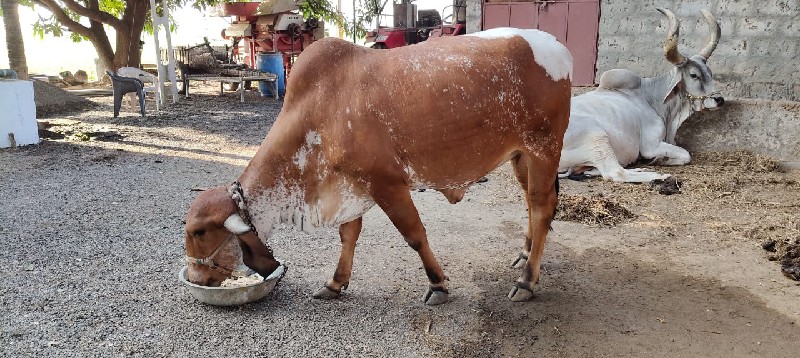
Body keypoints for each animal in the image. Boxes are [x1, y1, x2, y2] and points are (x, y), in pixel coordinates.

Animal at [184, 28, 572, 304]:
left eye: (200, 232)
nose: (196, 278)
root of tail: (557, 46)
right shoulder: (349, 186)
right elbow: (348, 236)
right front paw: (335, 282)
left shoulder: (386, 183)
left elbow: (414, 235)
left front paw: (437, 284)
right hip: (519, 156)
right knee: (531, 205)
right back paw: (525, 254)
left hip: (544, 148)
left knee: (542, 208)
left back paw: (527, 281)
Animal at [560, 8, 720, 182]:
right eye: (693, 75)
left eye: (709, 72)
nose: (719, 99)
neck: (650, 98)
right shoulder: (651, 146)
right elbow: (685, 155)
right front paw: (660, 160)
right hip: (596, 135)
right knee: (615, 173)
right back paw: (658, 176)